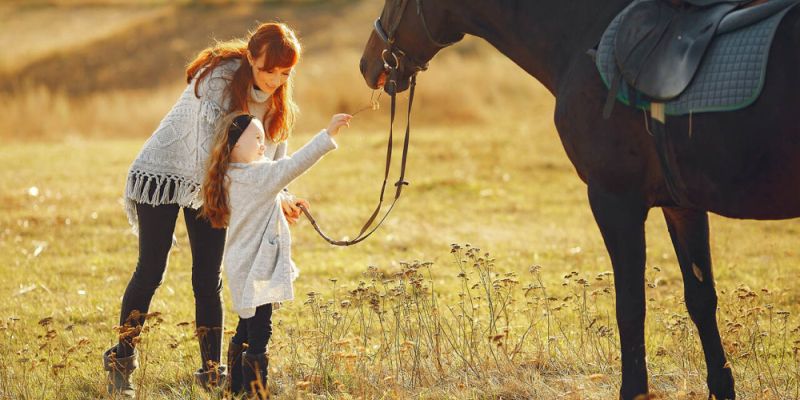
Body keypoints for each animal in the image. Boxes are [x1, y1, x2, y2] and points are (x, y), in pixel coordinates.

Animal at [360, 0, 800, 400]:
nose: (368, 64)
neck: (585, 36)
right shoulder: (683, 206)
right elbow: (701, 300)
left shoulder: (615, 201)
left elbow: (631, 308)